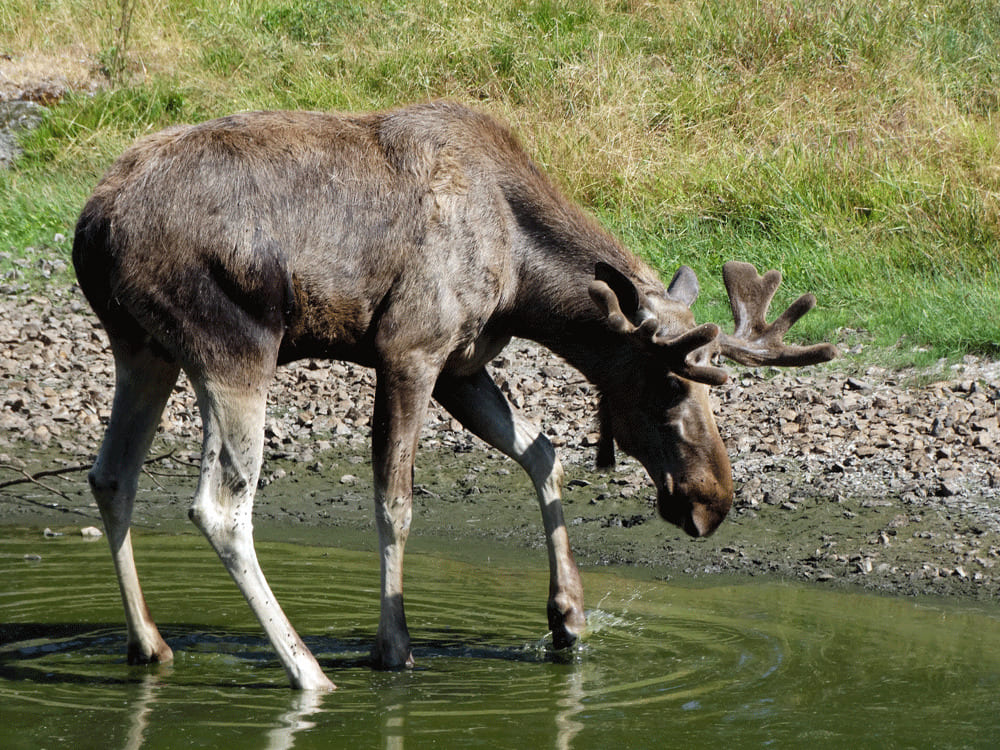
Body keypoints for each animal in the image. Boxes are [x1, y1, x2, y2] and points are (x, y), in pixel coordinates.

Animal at [72, 103, 836, 692]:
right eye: (673, 382)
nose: (713, 502)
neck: (525, 283)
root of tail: (92, 225)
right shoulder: (411, 350)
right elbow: (396, 502)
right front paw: (393, 646)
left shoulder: (462, 367)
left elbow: (543, 452)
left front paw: (568, 615)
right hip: (232, 349)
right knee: (220, 507)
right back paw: (308, 672)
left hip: (143, 348)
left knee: (112, 474)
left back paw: (150, 643)